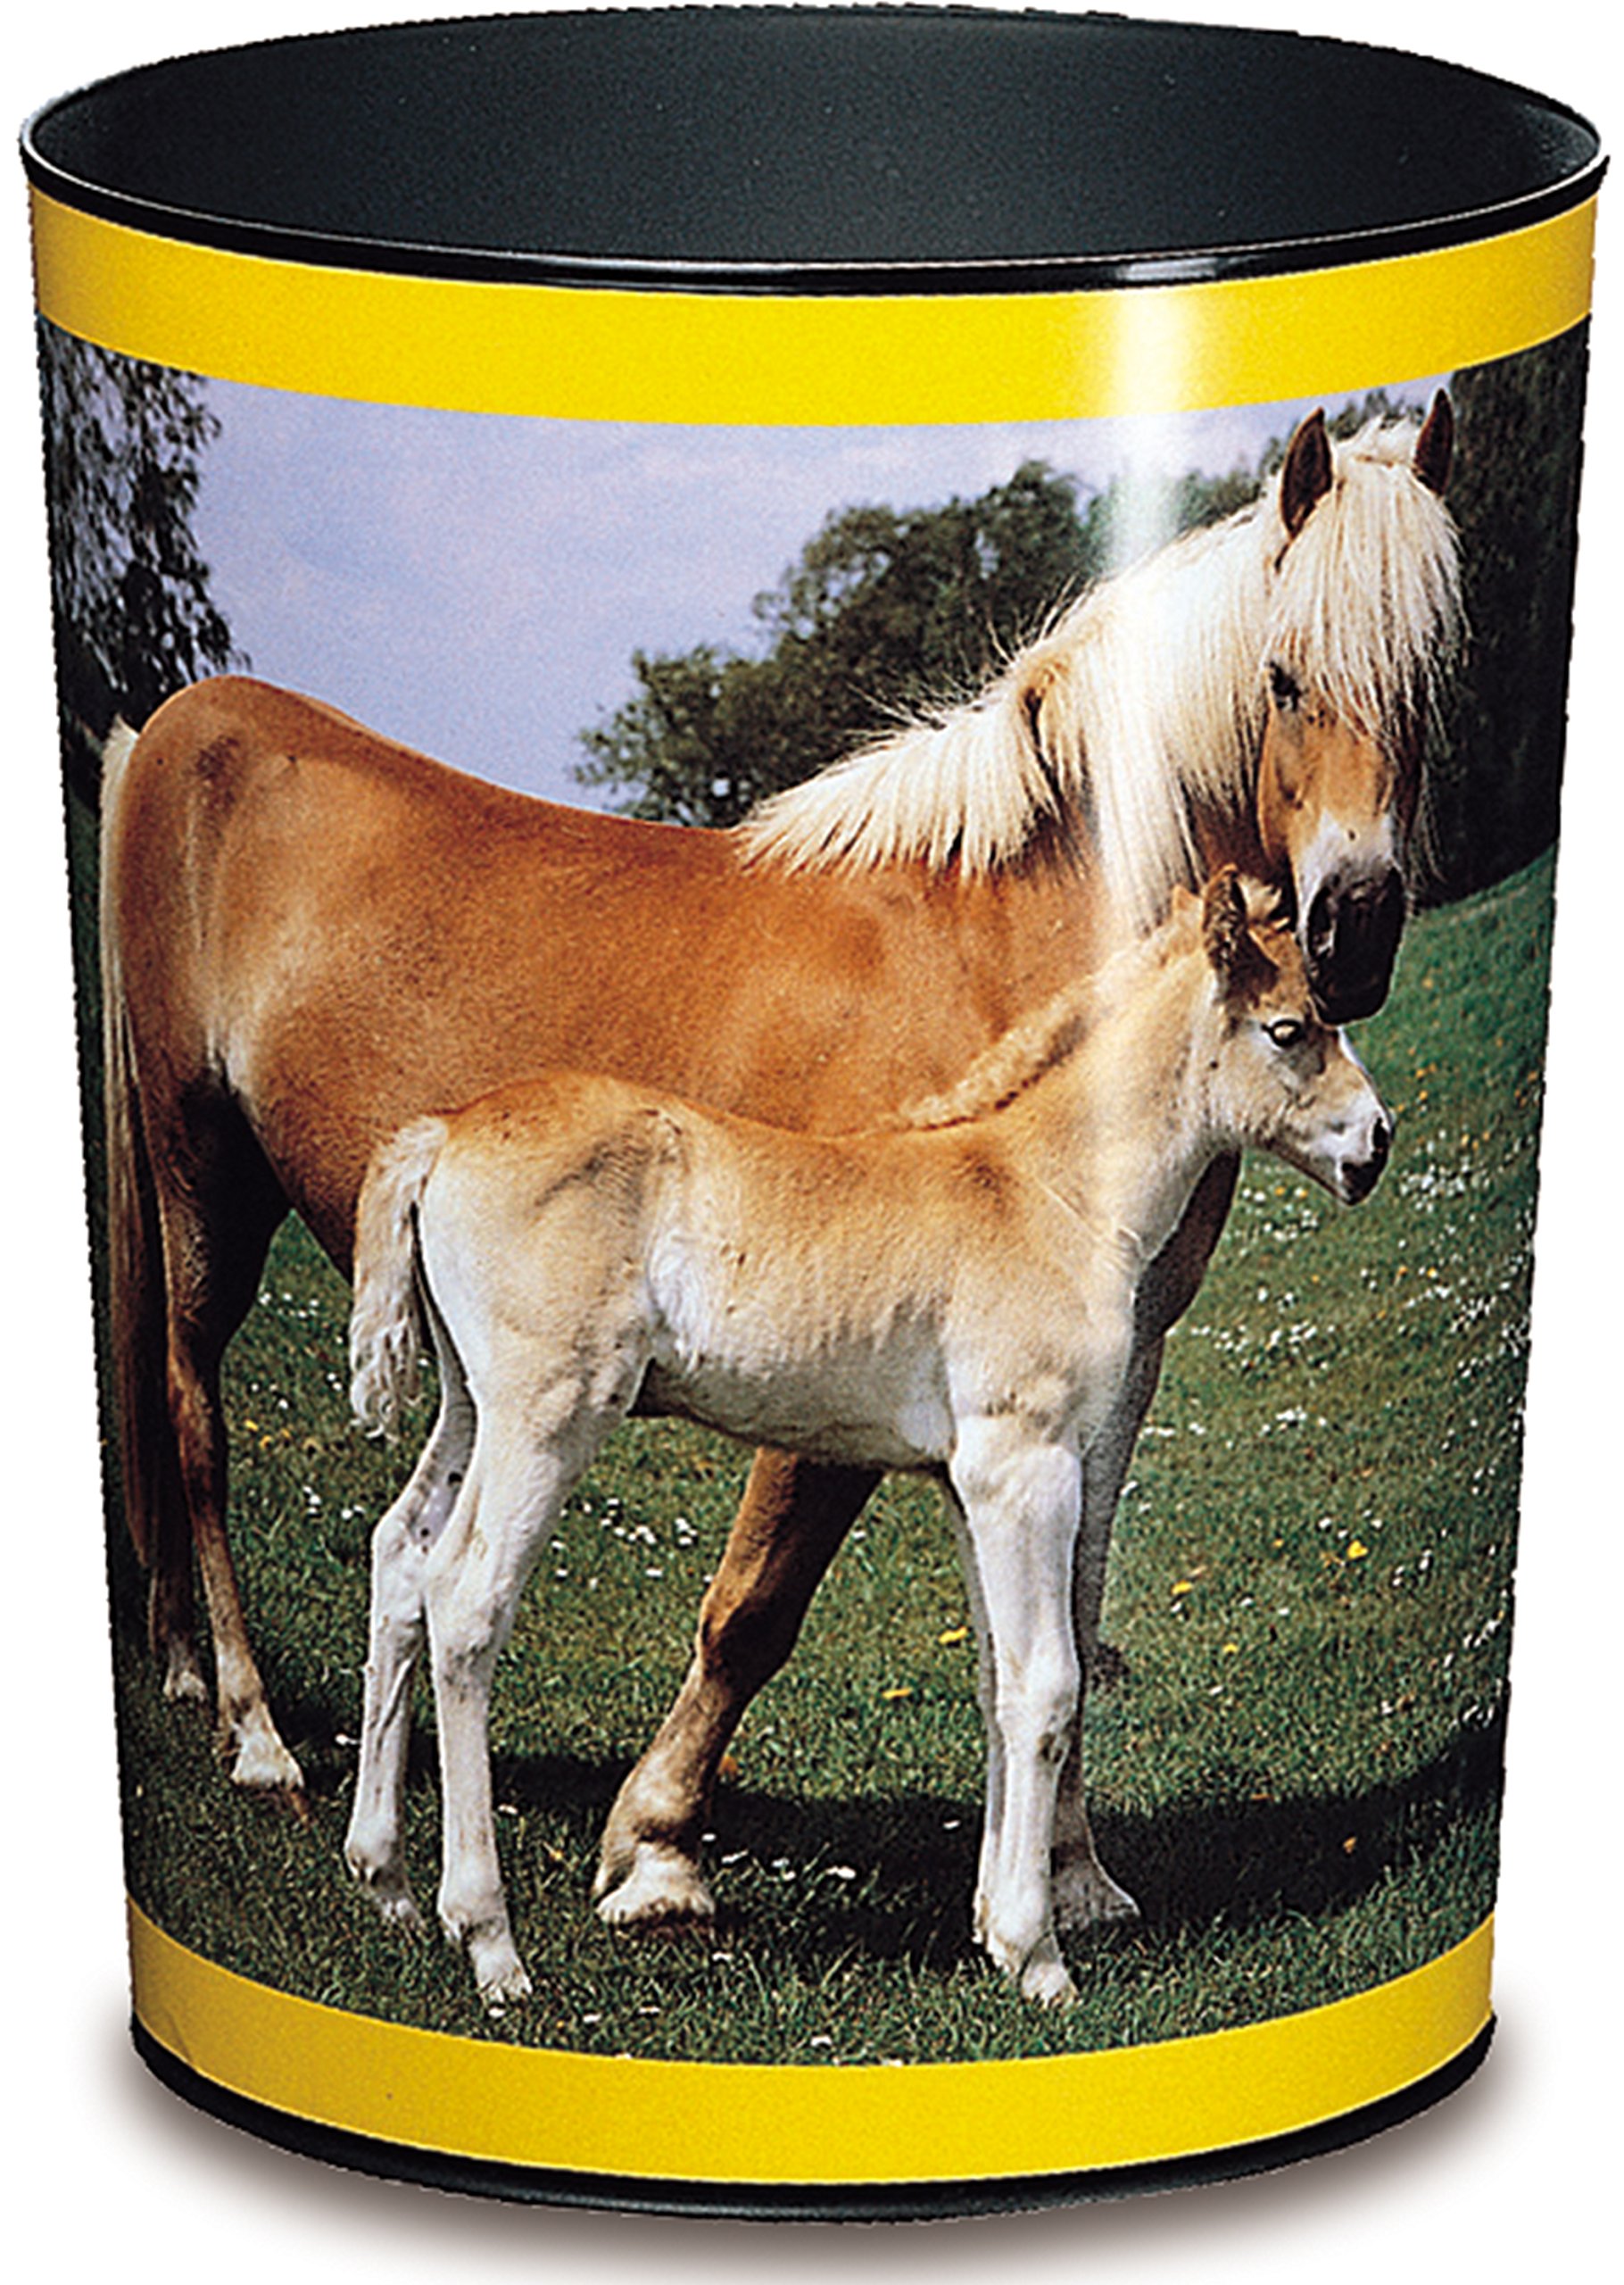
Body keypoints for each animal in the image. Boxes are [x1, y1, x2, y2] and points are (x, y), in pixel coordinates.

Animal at [345, 867, 1392, 2007]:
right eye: (1290, 1028)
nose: (1373, 1142)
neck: (1045, 1191)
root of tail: (441, 1132)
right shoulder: (1026, 1464)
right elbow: (1049, 1683)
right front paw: (1037, 1954)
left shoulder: (966, 1483)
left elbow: (996, 1679)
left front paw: (990, 1924)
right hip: (547, 1413)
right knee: (464, 1599)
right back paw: (488, 1942)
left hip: (468, 1404)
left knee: (401, 1556)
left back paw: (385, 1882)